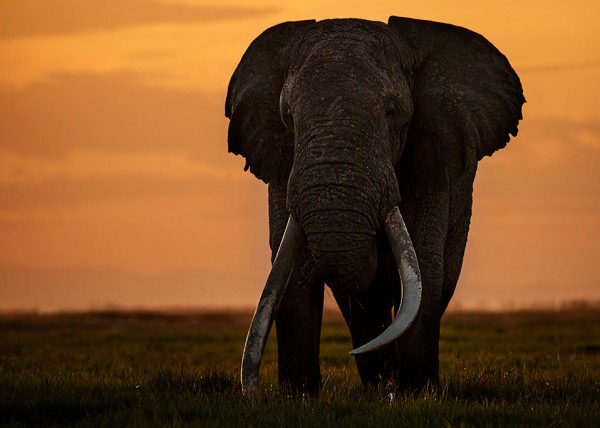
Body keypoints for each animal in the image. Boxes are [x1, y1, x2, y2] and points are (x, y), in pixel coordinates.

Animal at [225, 17, 524, 398]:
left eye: (392, 112)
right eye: (288, 116)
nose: (254, 391)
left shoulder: (433, 157)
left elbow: (425, 263)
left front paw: (417, 395)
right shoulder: (280, 166)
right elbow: (292, 271)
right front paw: (298, 397)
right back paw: (378, 382)